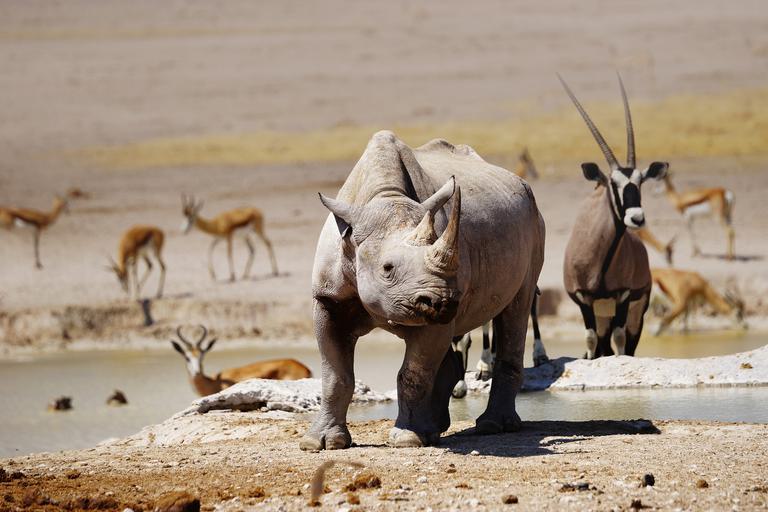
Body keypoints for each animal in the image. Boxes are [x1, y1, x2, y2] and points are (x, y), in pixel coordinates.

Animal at [300, 130, 545, 450]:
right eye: (387, 268)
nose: (442, 303)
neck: (384, 196)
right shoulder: (328, 299)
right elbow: (335, 375)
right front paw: (320, 442)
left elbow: (413, 374)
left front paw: (408, 438)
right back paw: (438, 428)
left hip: (533, 220)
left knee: (517, 306)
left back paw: (492, 426)